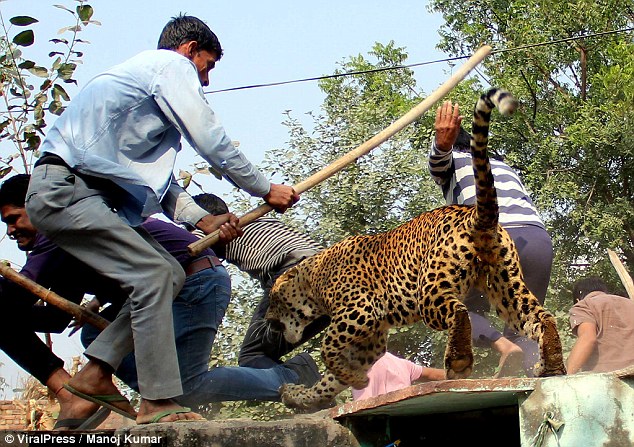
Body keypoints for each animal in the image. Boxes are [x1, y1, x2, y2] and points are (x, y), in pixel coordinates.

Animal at [264, 87, 564, 412]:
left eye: (273, 298)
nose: (267, 320)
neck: (313, 281)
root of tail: (474, 216)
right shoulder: (368, 342)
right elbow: (328, 380)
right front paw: (300, 394)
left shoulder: (359, 311)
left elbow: (327, 347)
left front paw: (354, 380)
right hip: (507, 285)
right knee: (540, 317)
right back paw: (551, 365)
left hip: (431, 291)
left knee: (460, 312)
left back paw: (459, 362)